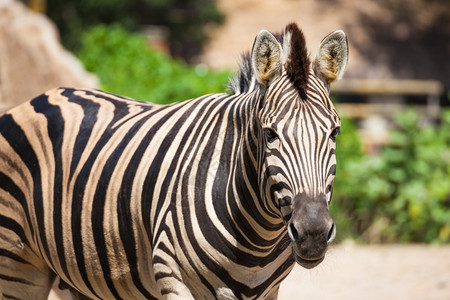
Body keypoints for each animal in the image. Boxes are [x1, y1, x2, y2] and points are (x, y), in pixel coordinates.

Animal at [0, 24, 348, 300]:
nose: (313, 233)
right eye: (269, 133)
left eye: (335, 132)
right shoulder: (174, 278)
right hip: (18, 264)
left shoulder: (268, 292)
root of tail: (44, 96)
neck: (255, 240)